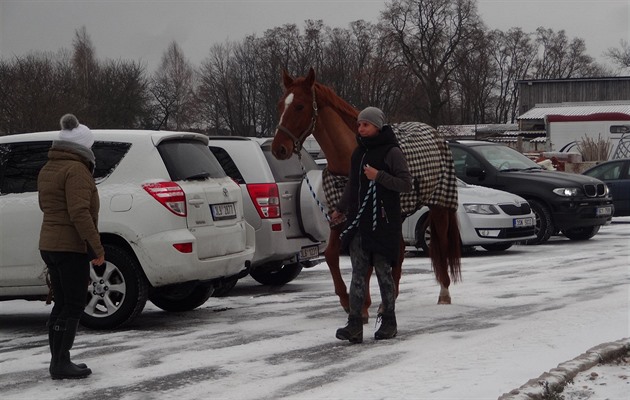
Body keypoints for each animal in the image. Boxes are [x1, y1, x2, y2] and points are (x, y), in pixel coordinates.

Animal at [270, 67, 462, 320]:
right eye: (280, 105)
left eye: (300, 106)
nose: (278, 149)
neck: (352, 156)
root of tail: (436, 134)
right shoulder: (340, 216)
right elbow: (331, 254)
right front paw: (346, 300)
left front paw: (362, 305)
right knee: (399, 250)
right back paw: (390, 298)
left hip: (438, 206)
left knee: (441, 244)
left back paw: (444, 293)